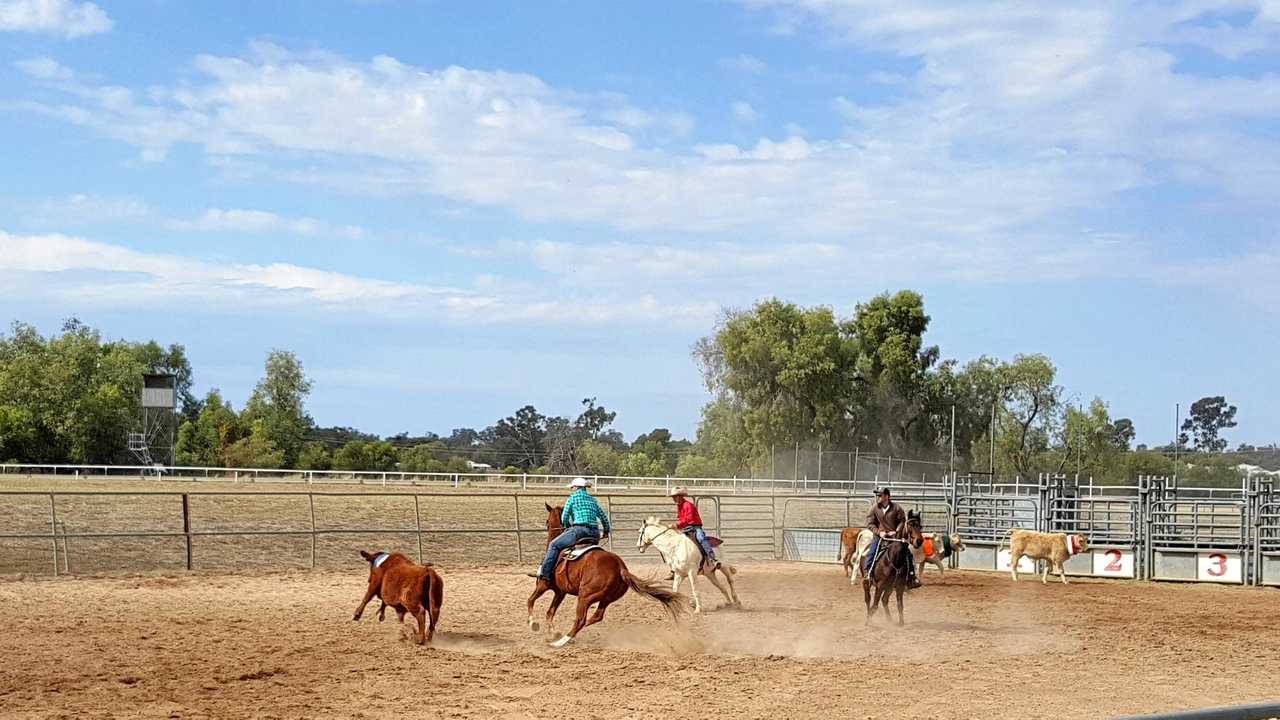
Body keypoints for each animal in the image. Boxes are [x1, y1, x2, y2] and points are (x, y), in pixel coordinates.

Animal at [527, 499, 696, 645]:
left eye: (547, 521)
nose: (546, 525)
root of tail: (620, 567)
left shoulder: (543, 585)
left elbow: (530, 601)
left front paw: (533, 624)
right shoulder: (560, 592)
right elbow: (550, 612)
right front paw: (552, 632)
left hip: (585, 596)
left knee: (580, 620)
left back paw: (561, 642)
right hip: (606, 598)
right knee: (596, 616)